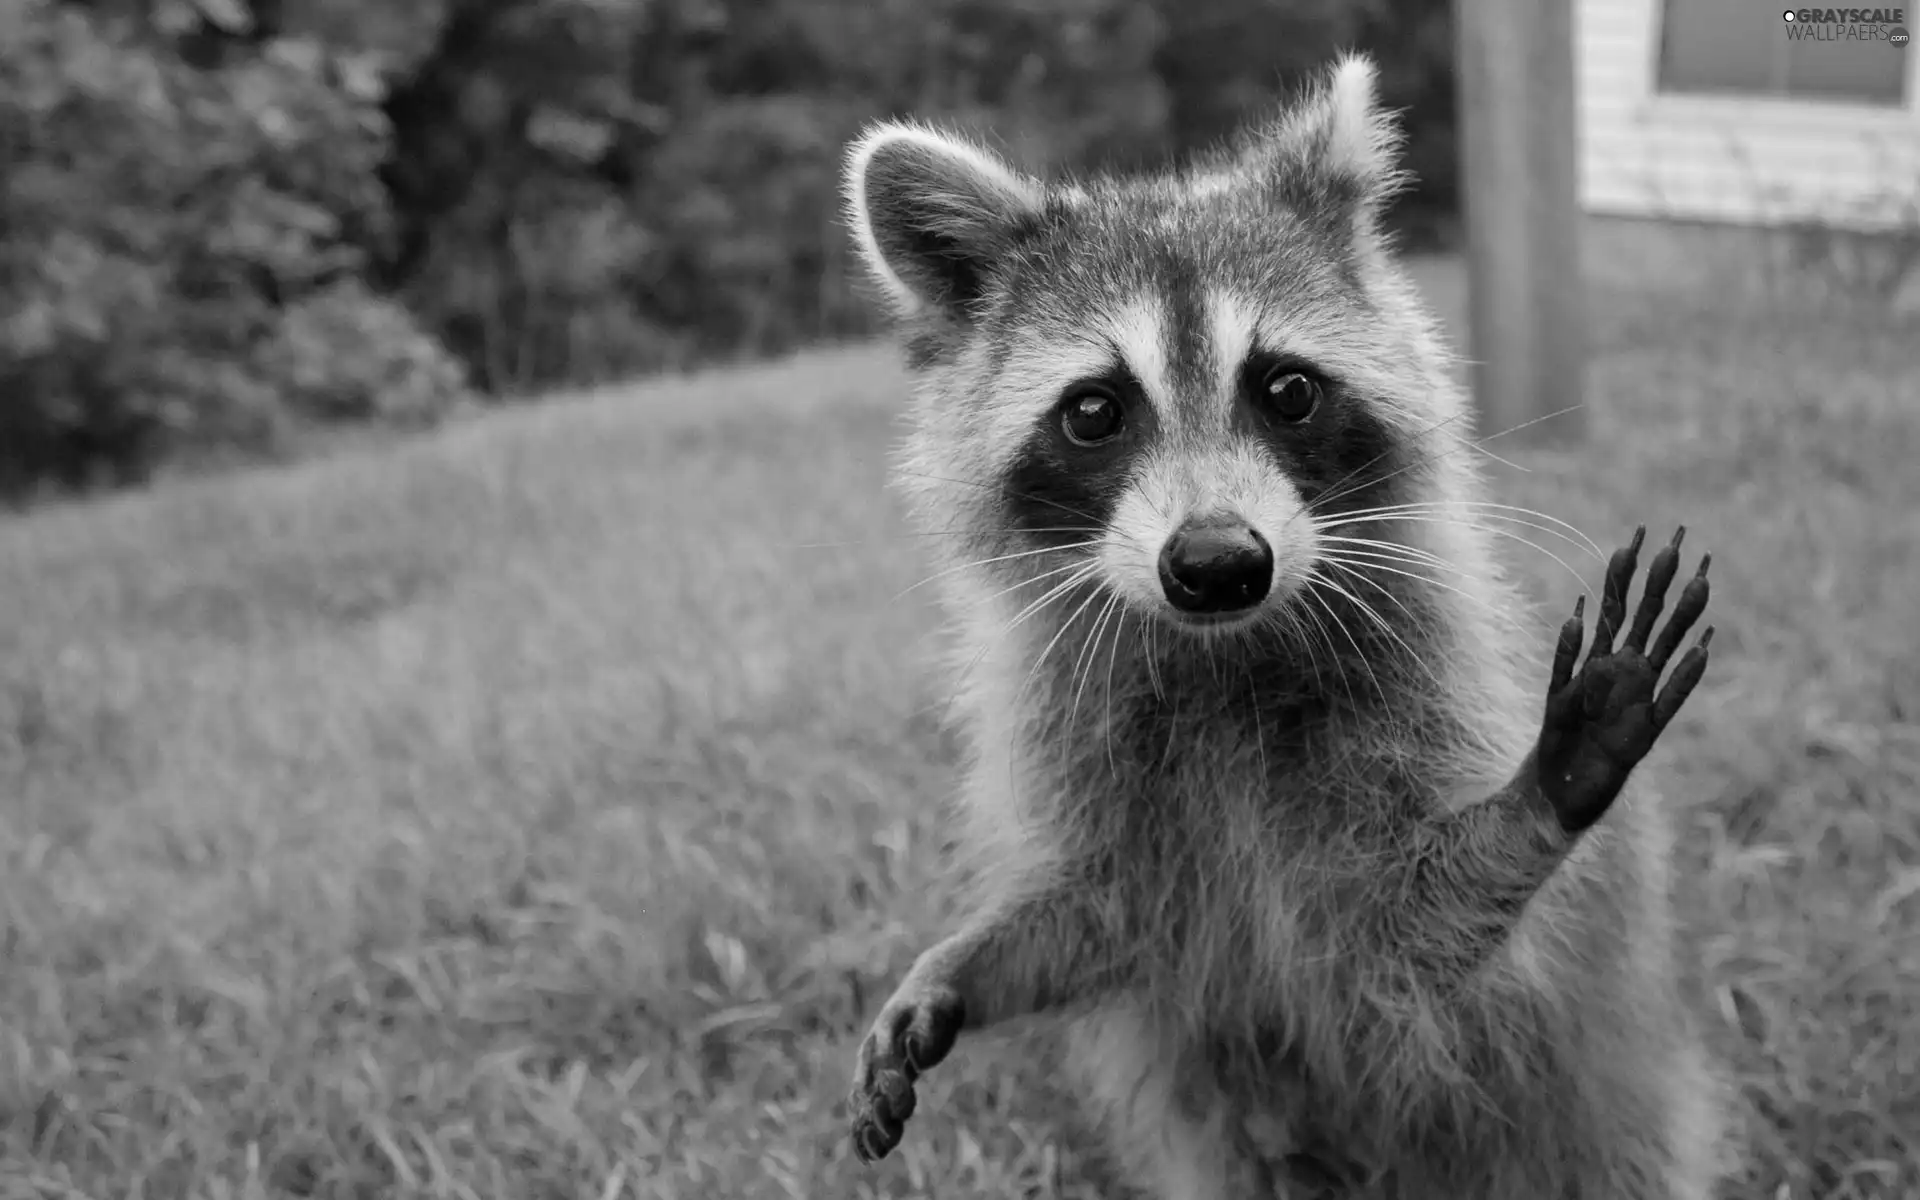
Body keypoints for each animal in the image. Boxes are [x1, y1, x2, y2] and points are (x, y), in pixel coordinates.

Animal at [840, 53, 1743, 1198]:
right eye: (1094, 412)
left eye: (1288, 390)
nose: (1219, 564)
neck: (1224, 654)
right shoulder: (1084, 744)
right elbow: (1102, 914)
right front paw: (966, 960)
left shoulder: (1422, 707)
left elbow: (1418, 931)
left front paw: (1541, 795)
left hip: (1605, 1134)